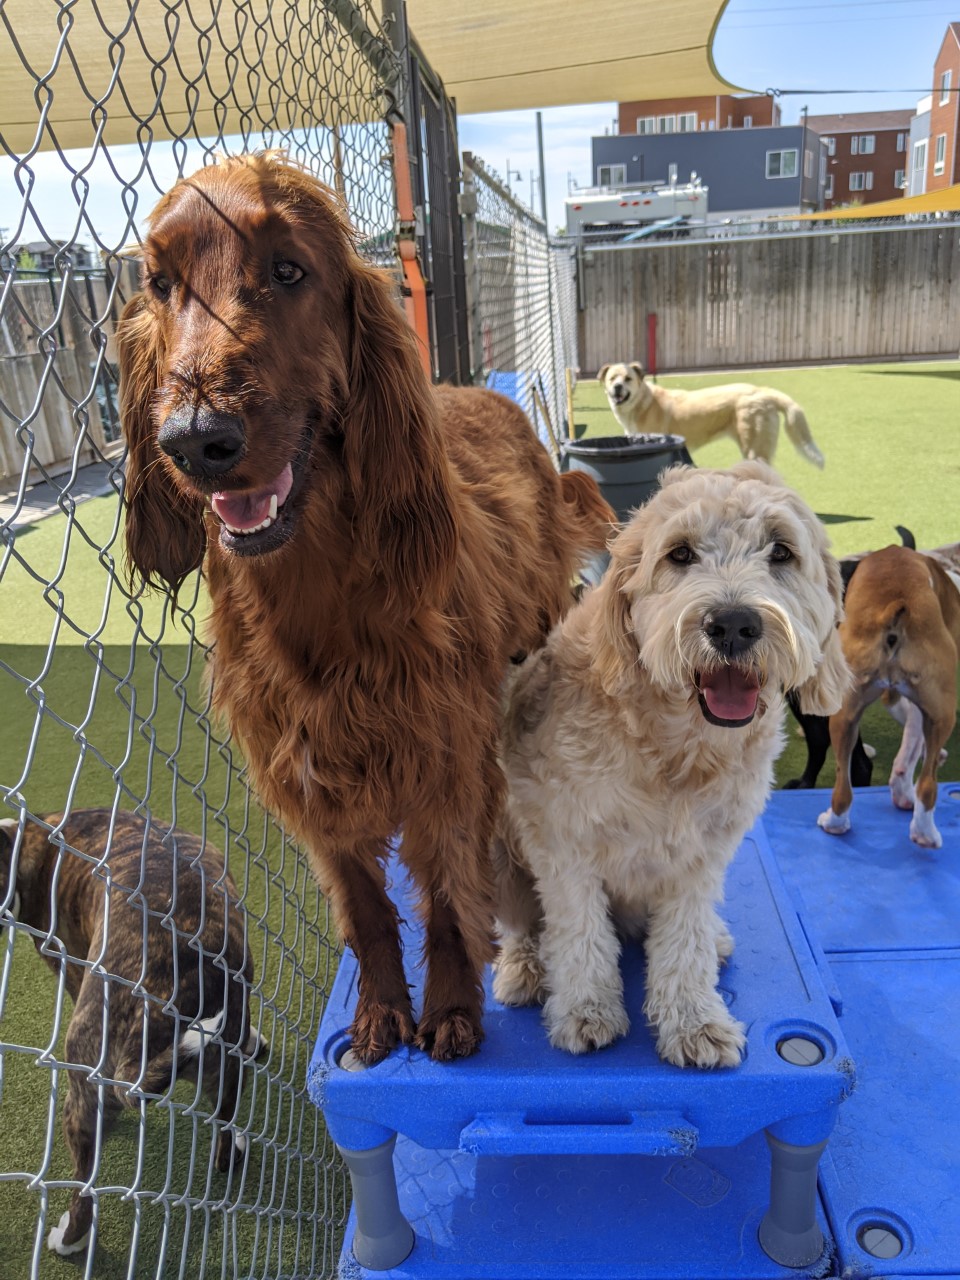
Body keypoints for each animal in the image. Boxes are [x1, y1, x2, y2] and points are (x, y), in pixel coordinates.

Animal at [0, 814, 264, 1254]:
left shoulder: (63, 956)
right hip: (225, 1070)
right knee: (225, 1126)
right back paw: (232, 1152)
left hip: (82, 1095)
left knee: (84, 1191)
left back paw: (68, 1240)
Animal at [118, 154, 616, 1064]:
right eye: (161, 283)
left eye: (289, 270)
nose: (195, 440)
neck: (315, 596)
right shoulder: (315, 786)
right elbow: (367, 914)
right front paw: (383, 1012)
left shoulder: (447, 766)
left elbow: (450, 903)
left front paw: (450, 1009)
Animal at [496, 465, 849, 1064]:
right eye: (679, 554)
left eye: (781, 550)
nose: (732, 624)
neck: (677, 751)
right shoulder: (565, 844)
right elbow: (579, 932)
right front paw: (587, 1010)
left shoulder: (701, 857)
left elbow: (685, 941)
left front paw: (693, 1021)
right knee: (523, 924)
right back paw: (524, 967)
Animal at [601, 360, 829, 471]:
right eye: (612, 378)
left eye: (628, 378)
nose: (617, 387)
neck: (642, 402)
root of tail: (762, 391)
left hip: (754, 449)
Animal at [819, 545, 960, 844]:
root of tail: (896, 605)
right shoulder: (909, 702)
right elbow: (911, 746)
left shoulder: (906, 701)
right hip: (940, 714)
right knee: (926, 781)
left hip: (844, 715)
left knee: (845, 783)